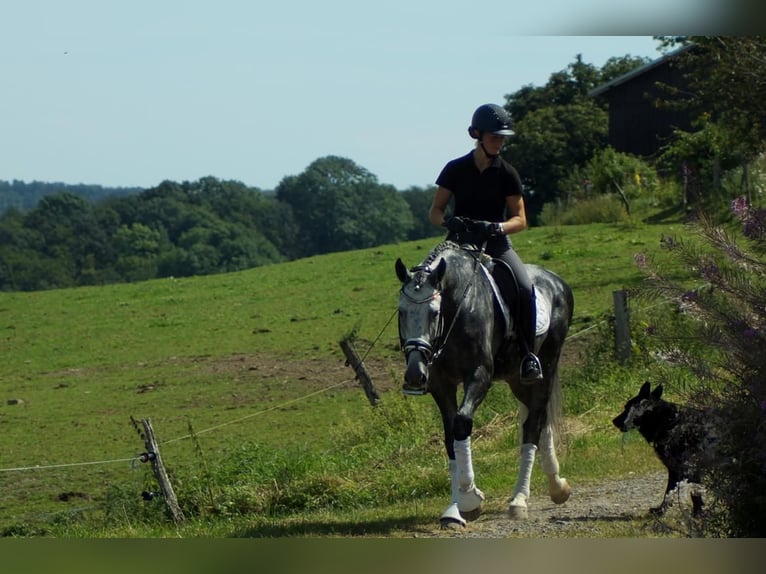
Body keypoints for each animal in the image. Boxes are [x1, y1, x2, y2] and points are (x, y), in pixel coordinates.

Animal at [396, 240, 576, 532]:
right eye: (401, 312)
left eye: (434, 313)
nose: (414, 375)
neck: (457, 307)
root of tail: (556, 280)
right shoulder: (440, 384)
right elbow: (450, 436)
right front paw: (455, 509)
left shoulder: (479, 375)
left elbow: (461, 423)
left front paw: (470, 498)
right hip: (518, 379)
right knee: (539, 419)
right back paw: (557, 486)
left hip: (547, 365)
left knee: (533, 424)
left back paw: (520, 500)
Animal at [612, 382, 712, 516]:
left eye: (627, 407)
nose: (614, 421)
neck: (669, 422)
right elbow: (683, 492)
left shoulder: (685, 468)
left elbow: (681, 492)